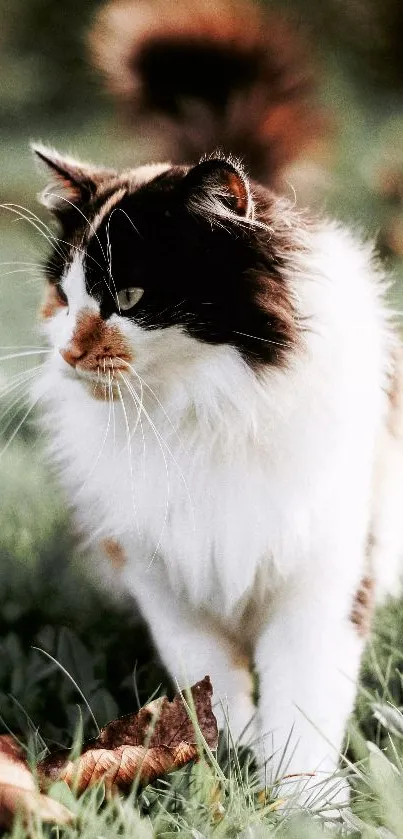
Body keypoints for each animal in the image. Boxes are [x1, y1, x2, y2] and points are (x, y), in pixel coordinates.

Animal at [30, 0, 403, 812]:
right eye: (64, 298)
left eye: (129, 297)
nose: (69, 353)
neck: (204, 410)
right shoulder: (162, 575)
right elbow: (211, 690)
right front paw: (220, 775)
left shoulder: (324, 575)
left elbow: (304, 700)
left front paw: (302, 804)